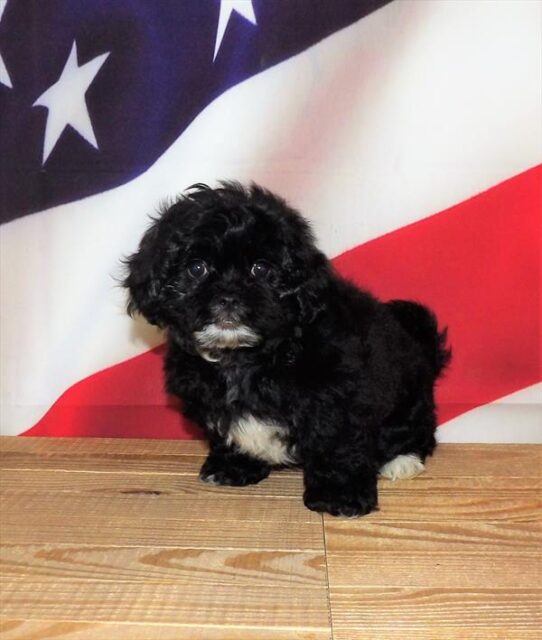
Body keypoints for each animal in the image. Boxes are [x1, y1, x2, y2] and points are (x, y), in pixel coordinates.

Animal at [125, 182, 452, 516]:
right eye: (196, 268)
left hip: (409, 402)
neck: (245, 356)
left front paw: (339, 496)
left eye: (260, 269)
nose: (228, 297)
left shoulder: (337, 398)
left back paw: (402, 460)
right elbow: (226, 434)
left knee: (418, 432)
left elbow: (337, 445)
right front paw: (234, 467)